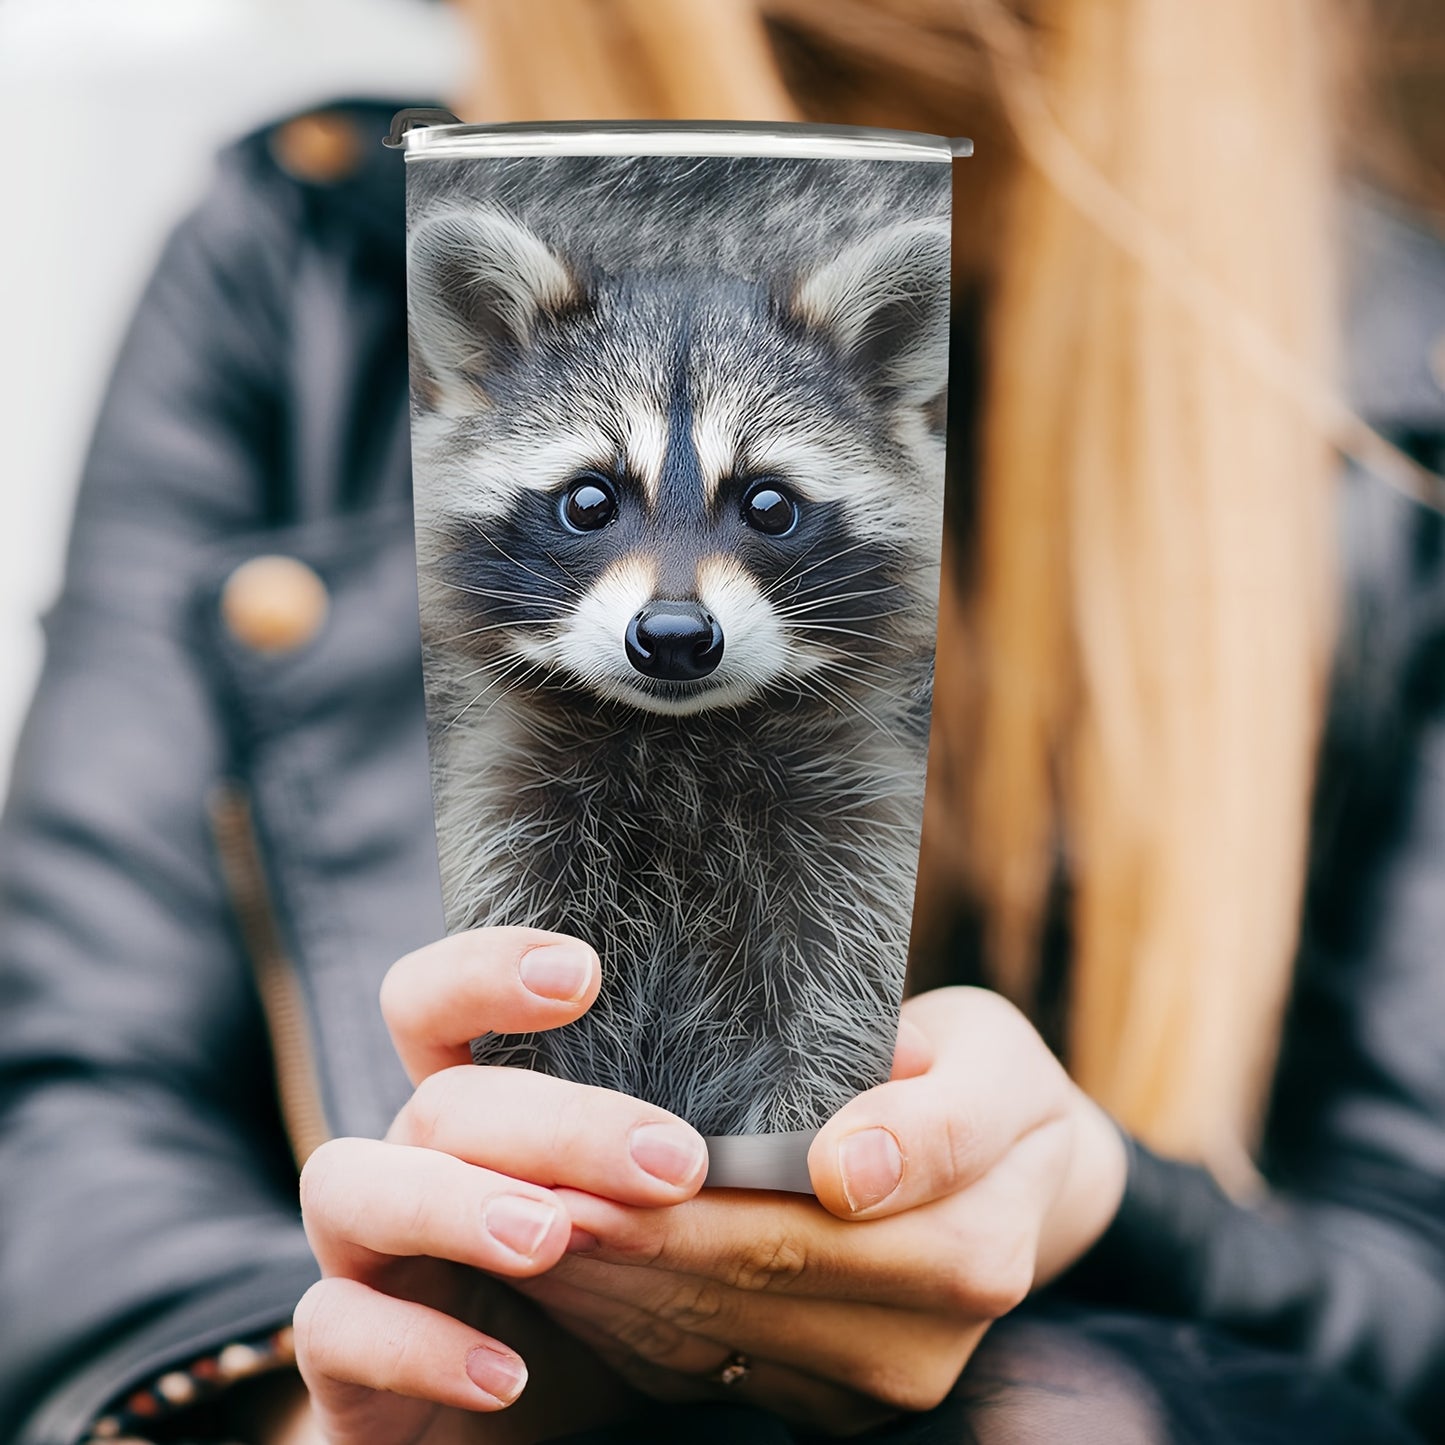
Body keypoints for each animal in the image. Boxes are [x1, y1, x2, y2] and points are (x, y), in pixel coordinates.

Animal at [408, 155, 949, 1136]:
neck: (675, 741)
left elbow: (828, 1036)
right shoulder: (513, 828)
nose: (671, 635)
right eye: (588, 499)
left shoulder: (843, 853)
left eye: (768, 503)